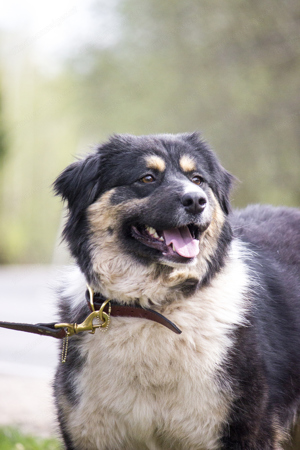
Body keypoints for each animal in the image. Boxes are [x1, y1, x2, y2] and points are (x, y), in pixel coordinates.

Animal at [52, 132, 300, 448]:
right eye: (147, 177)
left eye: (197, 179)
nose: (196, 201)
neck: (154, 308)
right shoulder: (91, 430)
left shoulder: (246, 431)